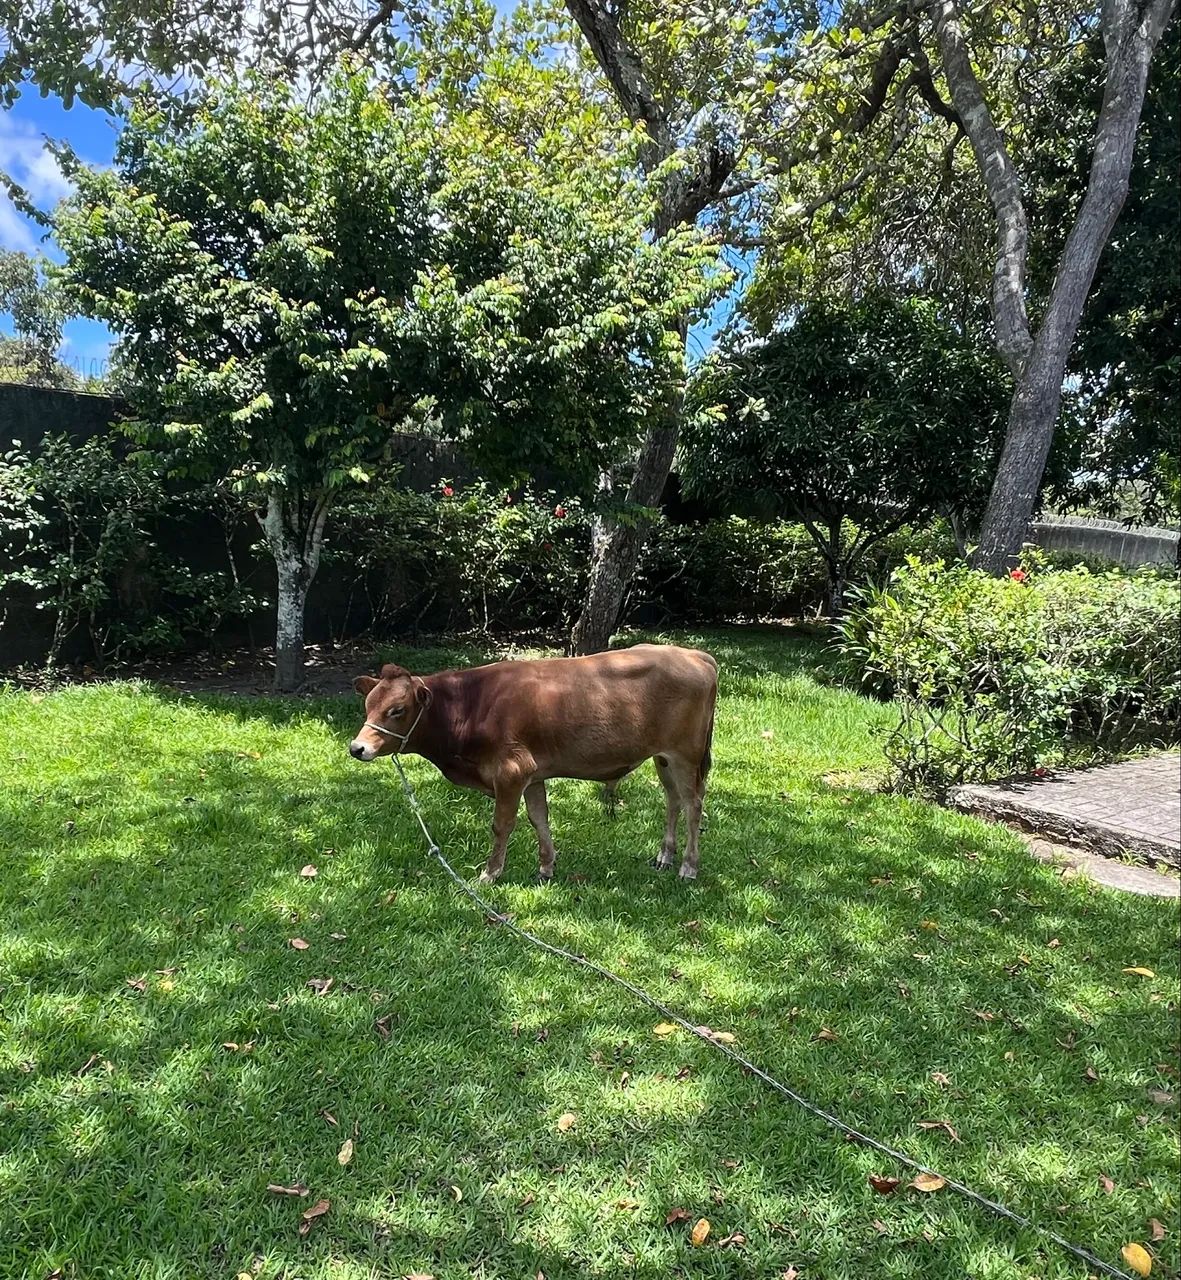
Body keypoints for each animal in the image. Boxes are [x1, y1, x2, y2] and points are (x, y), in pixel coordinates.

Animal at [349, 644, 718, 883]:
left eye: (397, 709)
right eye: (368, 705)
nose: (357, 747)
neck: (471, 706)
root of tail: (694, 655)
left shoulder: (511, 772)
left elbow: (502, 825)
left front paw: (490, 873)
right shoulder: (533, 774)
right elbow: (539, 819)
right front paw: (546, 867)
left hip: (685, 755)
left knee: (694, 804)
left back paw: (688, 866)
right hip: (663, 757)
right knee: (673, 800)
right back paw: (665, 856)